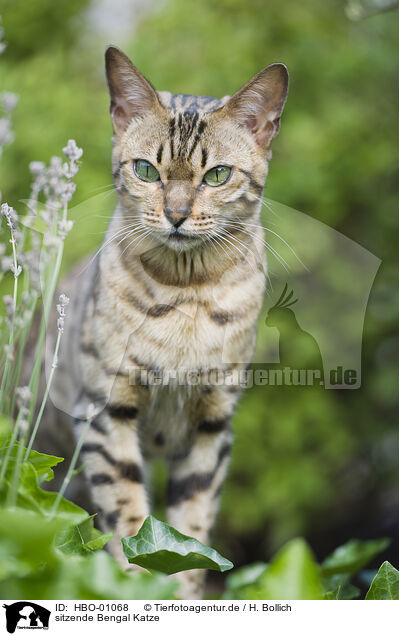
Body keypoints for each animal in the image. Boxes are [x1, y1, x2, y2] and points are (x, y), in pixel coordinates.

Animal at [57, 47, 288, 600]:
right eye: (146, 169)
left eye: (217, 176)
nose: (177, 214)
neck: (186, 295)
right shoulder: (105, 412)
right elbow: (129, 519)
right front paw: (135, 590)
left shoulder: (212, 426)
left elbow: (191, 531)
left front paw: (182, 594)